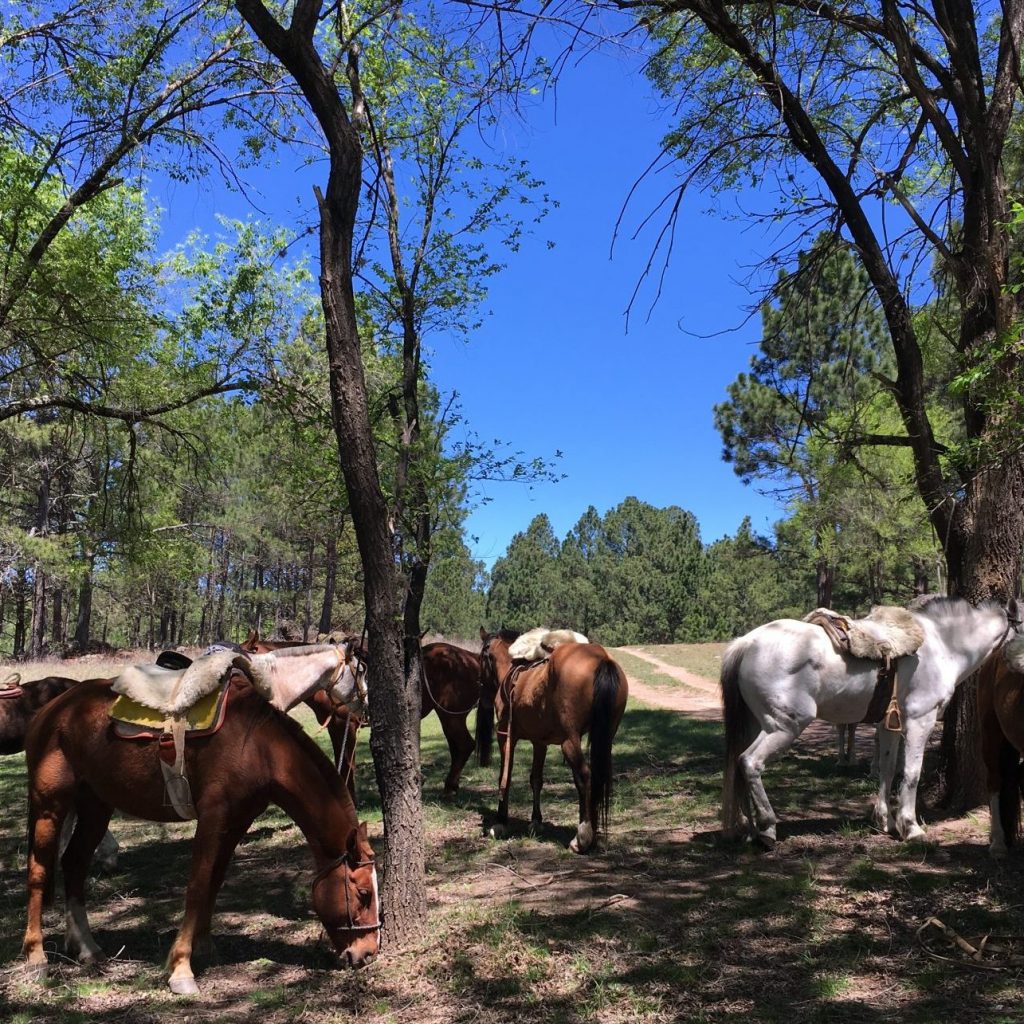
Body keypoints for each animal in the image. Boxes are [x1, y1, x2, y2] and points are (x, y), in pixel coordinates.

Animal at [18, 655, 380, 991]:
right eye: (362, 893)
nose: (368, 953)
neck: (259, 747)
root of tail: (50, 711)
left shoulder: (237, 821)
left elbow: (215, 881)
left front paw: (205, 947)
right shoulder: (213, 817)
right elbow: (197, 885)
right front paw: (181, 969)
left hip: (95, 806)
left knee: (75, 864)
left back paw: (87, 948)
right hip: (50, 805)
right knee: (39, 871)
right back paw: (36, 957)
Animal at [475, 626, 626, 851]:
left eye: (482, 656)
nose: (482, 692)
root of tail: (601, 659)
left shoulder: (506, 736)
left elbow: (505, 777)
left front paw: (500, 822)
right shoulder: (540, 742)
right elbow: (536, 779)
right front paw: (536, 821)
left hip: (569, 741)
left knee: (584, 776)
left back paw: (582, 837)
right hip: (606, 736)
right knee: (598, 777)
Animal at [720, 598, 1015, 843]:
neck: (943, 646)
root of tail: (747, 643)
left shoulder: (889, 725)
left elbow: (887, 769)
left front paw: (885, 822)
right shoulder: (920, 721)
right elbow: (911, 774)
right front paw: (911, 828)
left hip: (757, 725)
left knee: (737, 764)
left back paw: (749, 828)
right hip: (784, 726)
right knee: (750, 762)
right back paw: (767, 828)